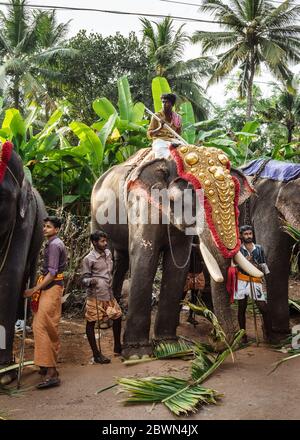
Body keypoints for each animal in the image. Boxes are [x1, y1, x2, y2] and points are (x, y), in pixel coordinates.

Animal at [91, 144, 262, 358]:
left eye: (234, 198)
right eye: (194, 197)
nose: (214, 340)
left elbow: (178, 262)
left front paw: (169, 346)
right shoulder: (141, 203)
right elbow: (145, 258)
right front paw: (139, 354)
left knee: (120, 261)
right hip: (95, 217)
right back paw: (106, 323)